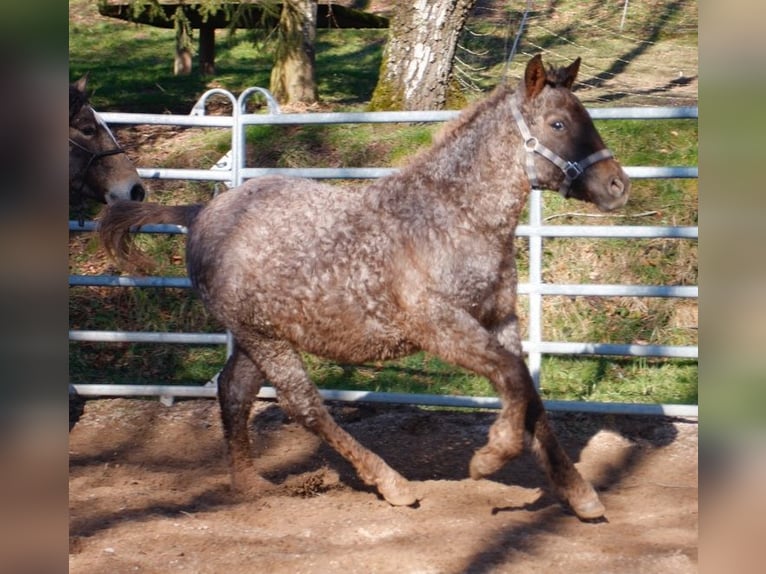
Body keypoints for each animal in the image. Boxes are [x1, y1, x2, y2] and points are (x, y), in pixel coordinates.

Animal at [99, 55, 632, 520]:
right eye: (559, 124)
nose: (618, 186)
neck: (452, 217)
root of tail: (200, 213)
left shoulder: (500, 320)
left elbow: (530, 394)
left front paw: (579, 495)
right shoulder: (441, 327)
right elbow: (514, 380)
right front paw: (491, 456)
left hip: (259, 338)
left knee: (233, 392)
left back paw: (250, 485)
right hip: (265, 340)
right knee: (304, 406)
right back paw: (391, 483)